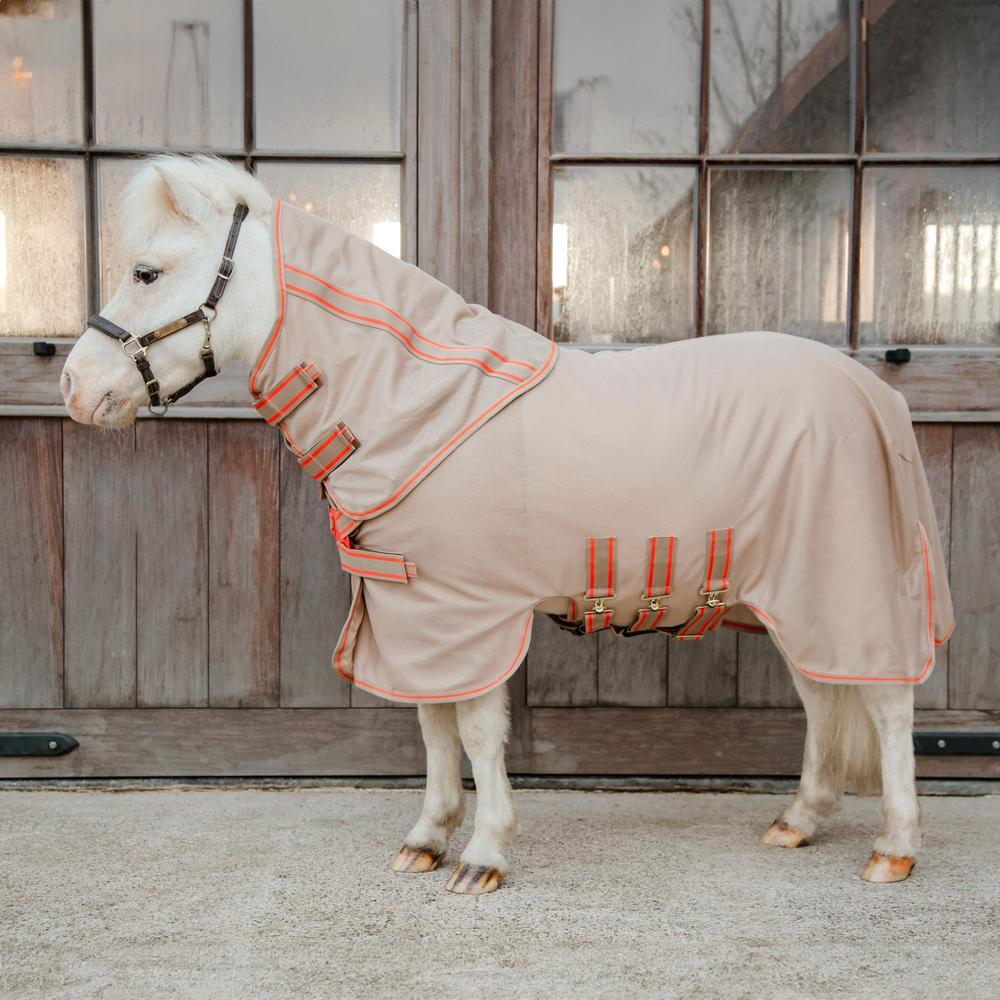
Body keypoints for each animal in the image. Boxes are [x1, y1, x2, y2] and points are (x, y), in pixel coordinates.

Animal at [61, 155, 953, 893]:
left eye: (146, 271)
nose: (74, 387)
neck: (418, 402)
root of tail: (874, 392)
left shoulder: (473, 610)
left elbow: (480, 733)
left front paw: (484, 855)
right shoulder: (418, 614)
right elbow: (433, 726)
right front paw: (427, 838)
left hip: (847, 586)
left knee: (886, 707)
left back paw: (895, 849)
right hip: (794, 597)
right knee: (825, 697)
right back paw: (799, 821)